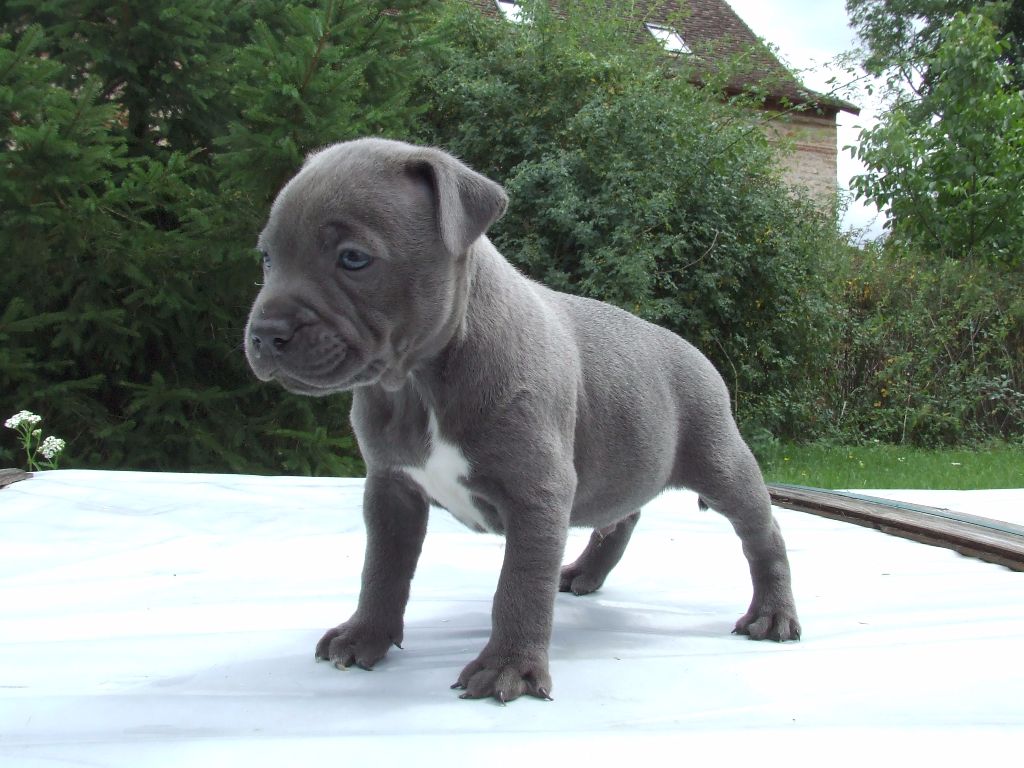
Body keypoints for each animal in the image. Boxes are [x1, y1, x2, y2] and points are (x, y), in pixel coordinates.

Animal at [245, 138, 800, 703]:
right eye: (266, 258)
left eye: (353, 259)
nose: (264, 333)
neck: (418, 383)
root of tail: (695, 352)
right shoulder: (390, 488)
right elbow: (381, 568)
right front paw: (364, 636)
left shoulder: (537, 493)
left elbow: (519, 584)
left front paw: (508, 668)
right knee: (620, 516)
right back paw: (583, 572)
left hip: (721, 459)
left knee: (763, 532)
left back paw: (773, 614)